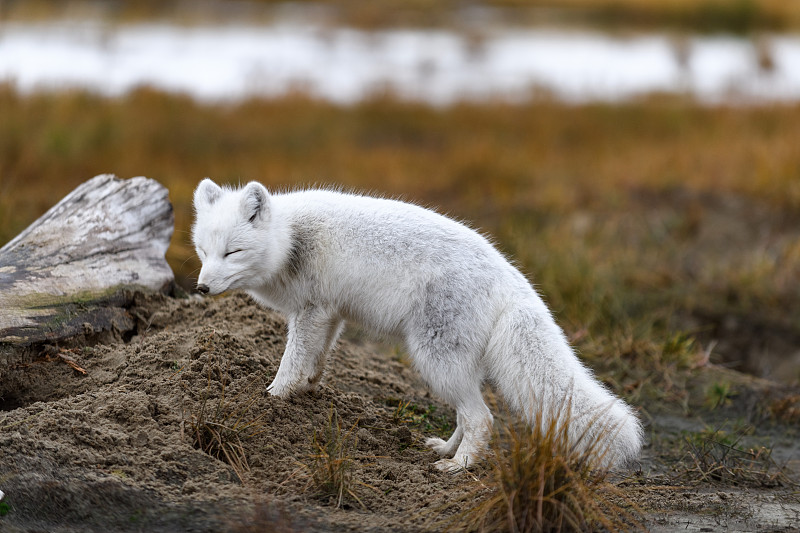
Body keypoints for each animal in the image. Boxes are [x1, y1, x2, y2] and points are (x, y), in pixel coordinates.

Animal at [192, 181, 644, 472]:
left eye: (232, 252)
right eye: (203, 250)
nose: (200, 287)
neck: (291, 239)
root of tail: (510, 277)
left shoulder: (309, 311)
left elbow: (291, 361)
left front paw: (274, 396)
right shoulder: (329, 314)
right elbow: (316, 360)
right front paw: (305, 388)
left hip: (434, 359)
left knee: (482, 418)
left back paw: (460, 467)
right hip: (451, 366)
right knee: (468, 415)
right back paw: (445, 450)